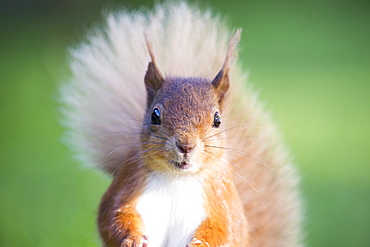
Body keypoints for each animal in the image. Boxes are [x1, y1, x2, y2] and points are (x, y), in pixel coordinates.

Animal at [60, 0, 302, 246]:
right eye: (155, 115)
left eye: (217, 120)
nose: (186, 145)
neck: (177, 179)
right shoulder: (127, 188)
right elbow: (114, 217)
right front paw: (132, 239)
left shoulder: (221, 203)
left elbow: (224, 230)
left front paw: (200, 243)